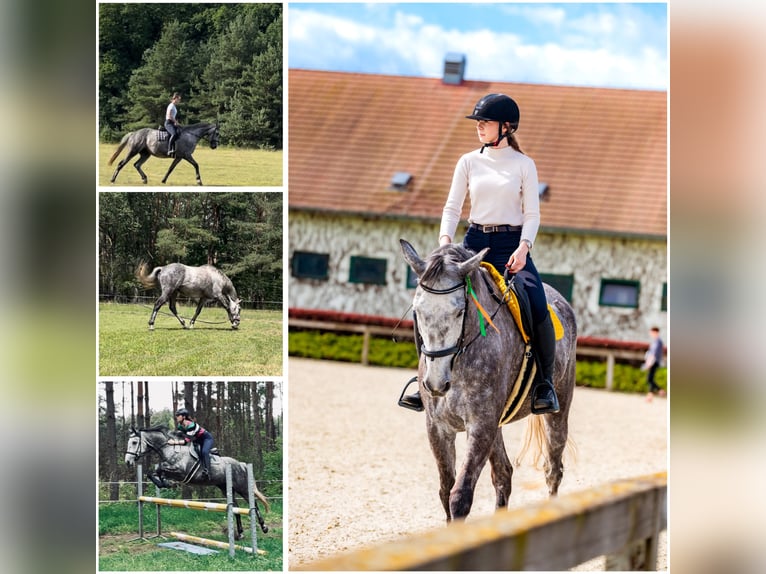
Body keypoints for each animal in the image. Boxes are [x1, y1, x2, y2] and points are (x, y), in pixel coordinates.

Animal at [125, 428, 270, 540]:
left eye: (134, 442)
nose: (127, 462)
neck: (170, 449)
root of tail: (241, 464)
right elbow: (153, 472)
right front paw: (164, 483)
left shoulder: (181, 471)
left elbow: (160, 468)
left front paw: (167, 482)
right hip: (226, 488)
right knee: (236, 508)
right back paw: (240, 534)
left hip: (242, 487)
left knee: (254, 504)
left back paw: (264, 527)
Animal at [402, 241, 576, 524]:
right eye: (418, 311)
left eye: (459, 311)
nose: (436, 383)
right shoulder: (438, 428)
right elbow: (445, 490)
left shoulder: (481, 426)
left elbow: (460, 495)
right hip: (498, 423)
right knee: (504, 474)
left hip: (557, 414)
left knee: (553, 470)